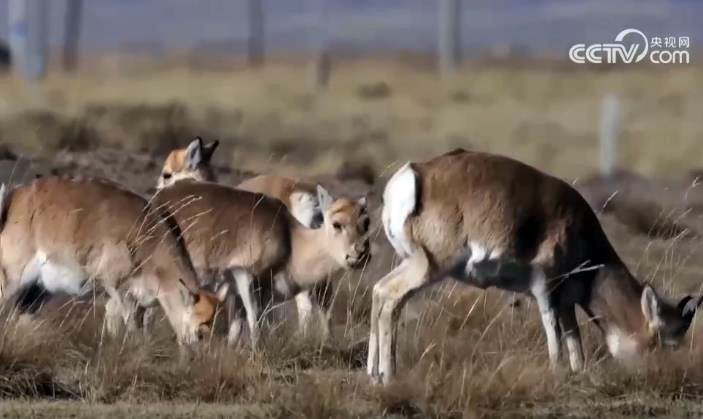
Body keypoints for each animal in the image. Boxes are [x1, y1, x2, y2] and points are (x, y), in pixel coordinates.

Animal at [0, 176, 228, 346]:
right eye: (201, 329)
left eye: (218, 326)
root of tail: (15, 197)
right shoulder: (118, 289)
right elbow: (133, 329)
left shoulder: (129, 299)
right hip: (13, 281)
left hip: (36, 292)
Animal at [153, 180, 374, 348]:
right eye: (337, 224)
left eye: (366, 222)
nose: (361, 253)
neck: (290, 239)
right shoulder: (245, 276)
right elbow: (253, 318)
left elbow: (239, 324)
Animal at [368, 149, 700, 386]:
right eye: (670, 342)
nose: (667, 375)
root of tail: (414, 173)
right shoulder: (545, 289)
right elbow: (553, 333)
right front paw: (557, 372)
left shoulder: (566, 302)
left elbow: (574, 339)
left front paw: (577, 373)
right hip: (429, 268)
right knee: (392, 299)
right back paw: (389, 374)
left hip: (412, 264)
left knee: (379, 291)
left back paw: (373, 373)